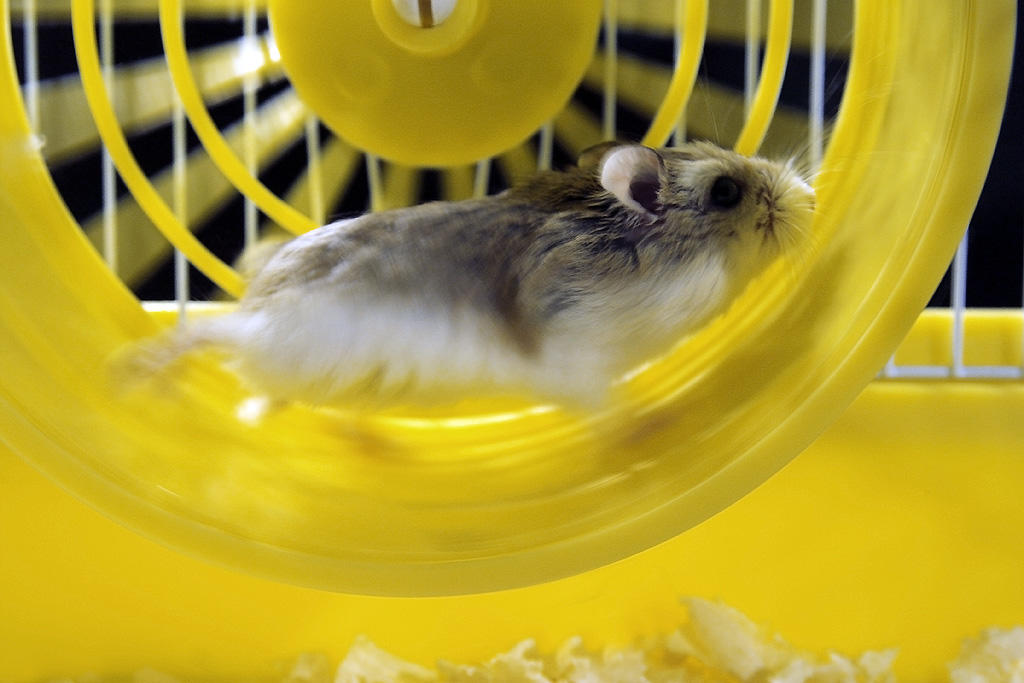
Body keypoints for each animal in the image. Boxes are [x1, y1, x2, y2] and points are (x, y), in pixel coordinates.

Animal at [133, 141, 814, 410]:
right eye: (726, 192)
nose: (808, 197)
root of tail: (255, 305)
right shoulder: (576, 358)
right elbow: (605, 407)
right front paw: (646, 425)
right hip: (291, 335)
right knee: (213, 336)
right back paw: (135, 373)